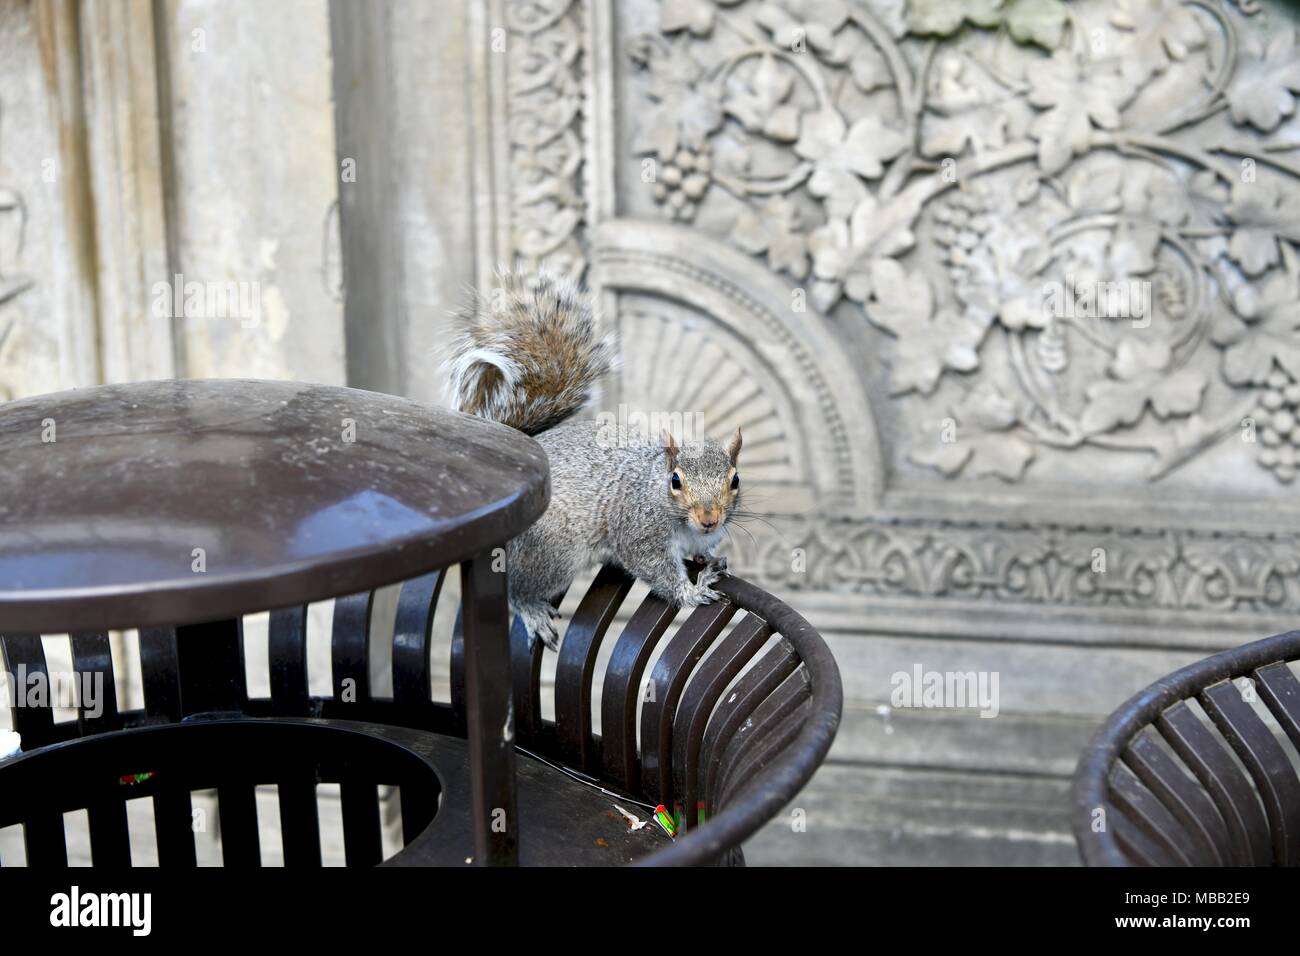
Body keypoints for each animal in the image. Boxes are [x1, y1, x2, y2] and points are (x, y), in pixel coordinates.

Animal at [444, 271, 742, 650]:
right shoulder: (638, 531)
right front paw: (692, 592)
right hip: (553, 549)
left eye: (735, 480)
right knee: (518, 589)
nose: (709, 519)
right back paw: (532, 609)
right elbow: (655, 569)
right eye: (675, 480)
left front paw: (710, 560)